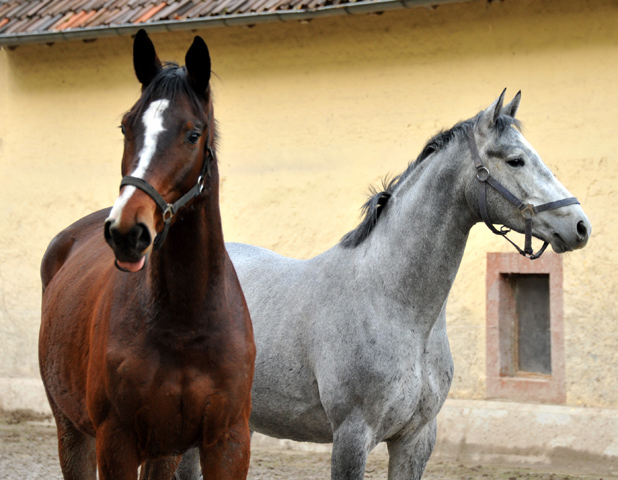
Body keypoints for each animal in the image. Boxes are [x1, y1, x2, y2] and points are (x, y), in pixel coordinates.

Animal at [39, 30, 255, 480]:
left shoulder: (228, 442)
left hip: (163, 451)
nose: (127, 232)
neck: (186, 321)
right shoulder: (116, 443)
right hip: (72, 432)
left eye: (193, 133)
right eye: (126, 125)